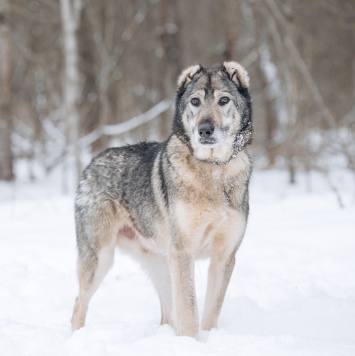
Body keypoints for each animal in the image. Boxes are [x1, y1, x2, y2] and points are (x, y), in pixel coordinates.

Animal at [71, 61, 253, 336]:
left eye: (224, 100)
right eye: (195, 101)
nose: (204, 130)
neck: (213, 171)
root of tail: (92, 163)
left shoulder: (224, 257)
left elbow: (211, 313)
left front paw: (208, 337)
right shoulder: (183, 253)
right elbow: (189, 312)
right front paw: (190, 341)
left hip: (162, 264)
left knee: (166, 315)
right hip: (102, 259)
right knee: (78, 304)